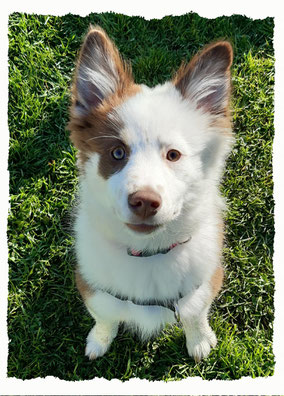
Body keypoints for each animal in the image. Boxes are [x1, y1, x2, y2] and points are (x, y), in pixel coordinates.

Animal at [67, 25, 234, 362]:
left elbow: (196, 313)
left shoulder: (206, 280)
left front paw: (199, 340)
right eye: (117, 152)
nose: (144, 202)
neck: (148, 254)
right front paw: (99, 341)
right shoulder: (91, 284)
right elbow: (105, 316)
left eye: (173, 155)